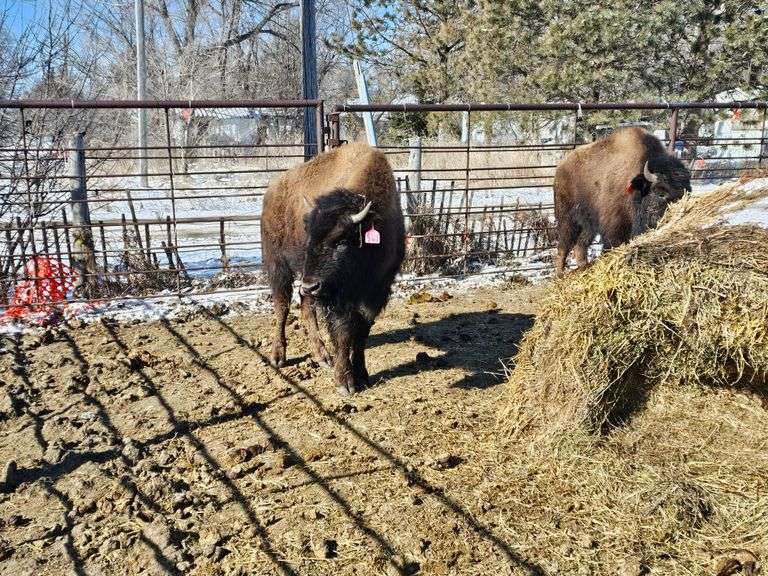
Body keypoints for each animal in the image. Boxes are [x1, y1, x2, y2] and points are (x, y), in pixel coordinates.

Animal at [261, 142, 406, 395]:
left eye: (342, 241)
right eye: (309, 236)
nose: (312, 285)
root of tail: (272, 192)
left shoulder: (377, 290)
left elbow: (361, 331)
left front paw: (362, 374)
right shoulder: (339, 298)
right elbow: (344, 332)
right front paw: (345, 382)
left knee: (306, 307)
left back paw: (322, 355)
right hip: (278, 265)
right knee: (282, 307)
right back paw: (278, 356)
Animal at [553, 127, 691, 276]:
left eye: (687, 192)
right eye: (661, 193)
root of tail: (560, 169)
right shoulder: (614, 229)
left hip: (588, 225)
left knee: (580, 245)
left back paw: (583, 267)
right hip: (568, 220)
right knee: (563, 247)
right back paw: (559, 274)